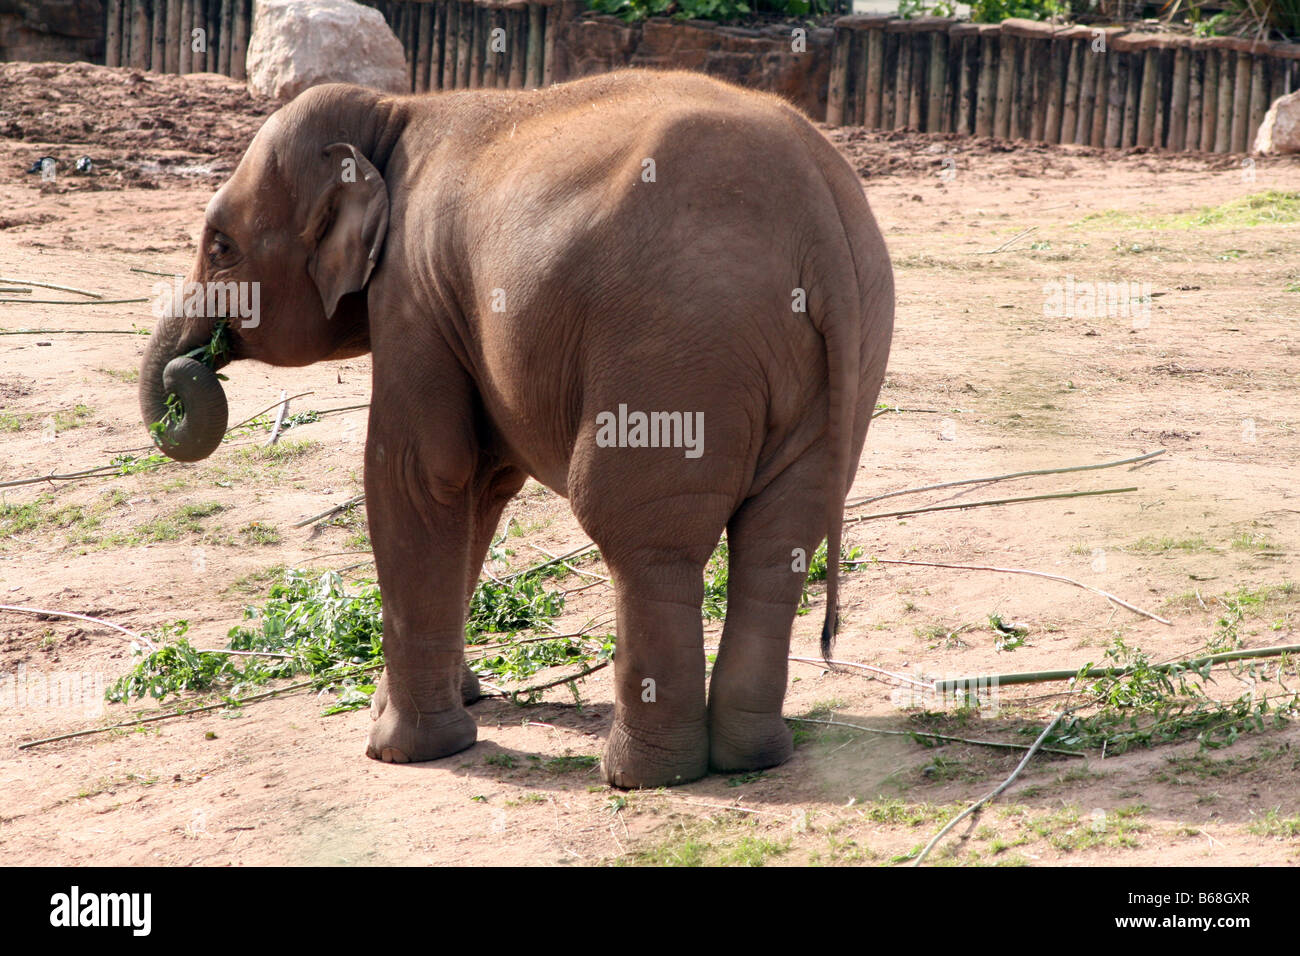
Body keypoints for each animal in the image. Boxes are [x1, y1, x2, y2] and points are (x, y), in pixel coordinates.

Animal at [139, 70, 894, 790]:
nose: (189, 368)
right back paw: (751, 759)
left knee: (642, 537)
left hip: (675, 346)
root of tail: (819, 214)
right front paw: (451, 702)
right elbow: (481, 481)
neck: (394, 111)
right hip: (840, 363)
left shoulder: (411, 292)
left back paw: (641, 776)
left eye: (221, 245)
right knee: (779, 539)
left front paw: (399, 750)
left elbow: (419, 472)